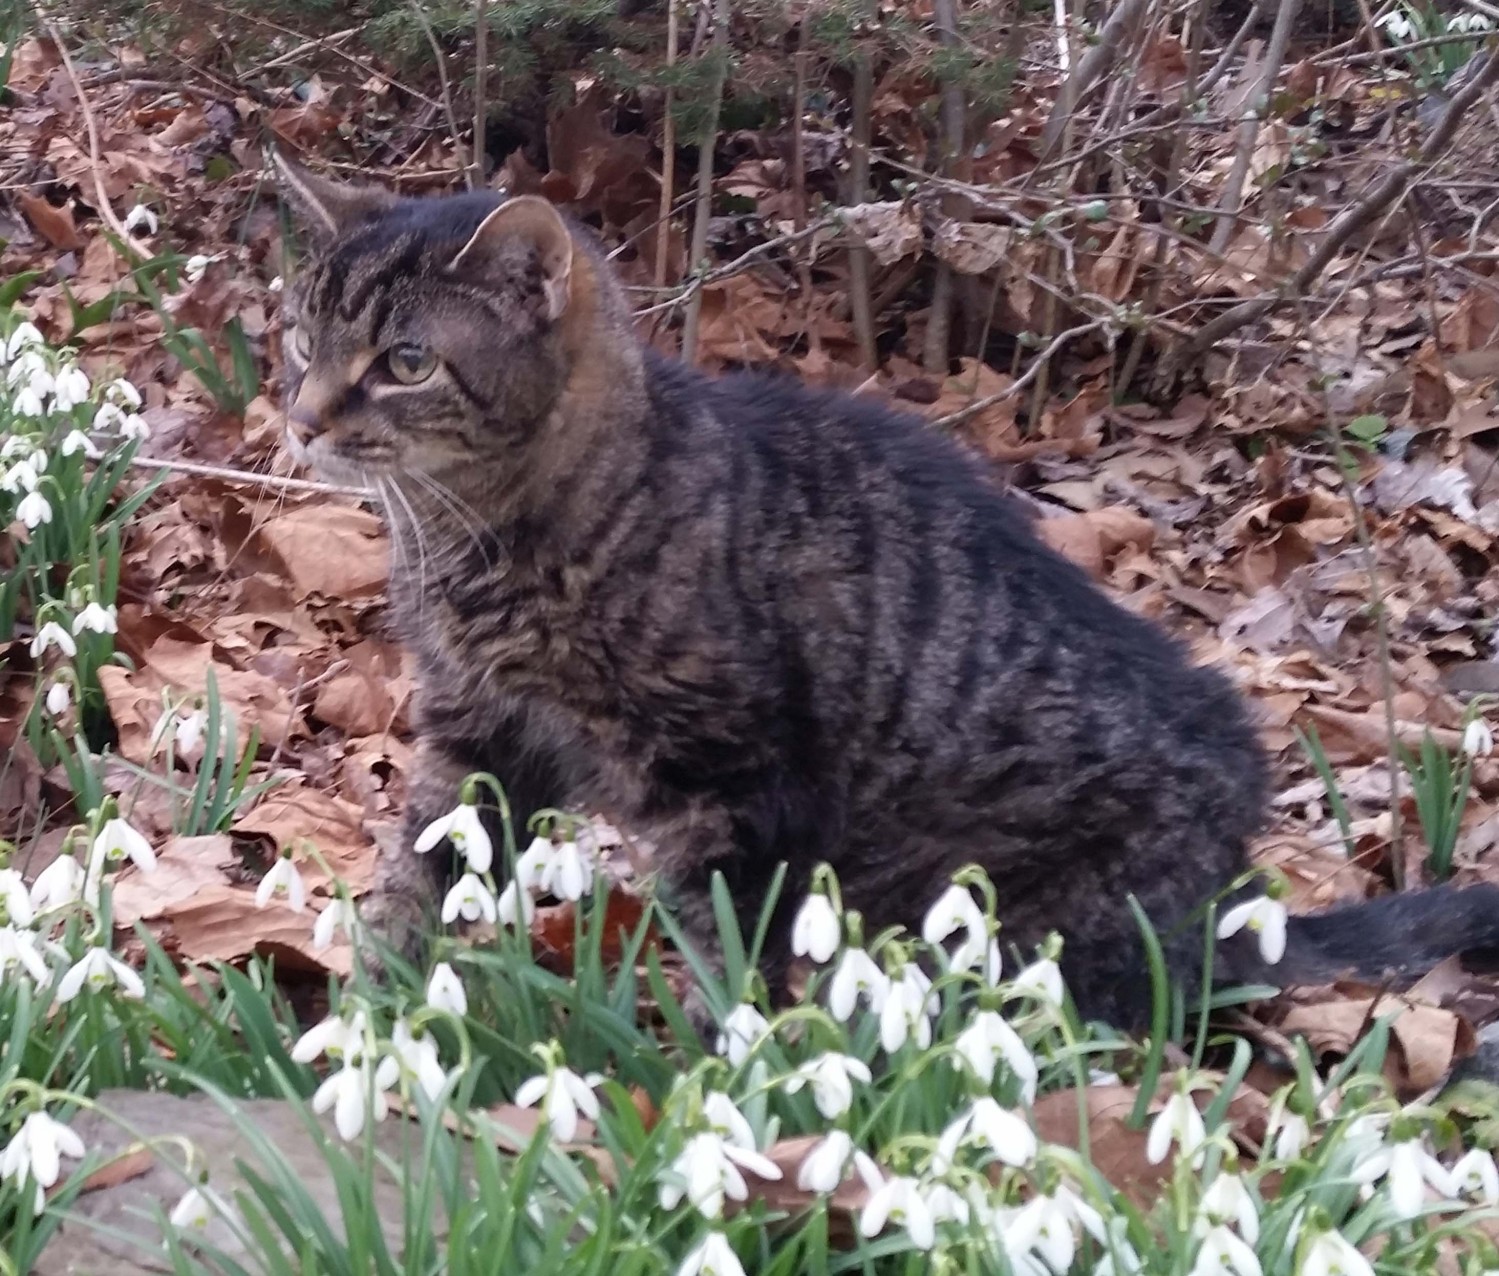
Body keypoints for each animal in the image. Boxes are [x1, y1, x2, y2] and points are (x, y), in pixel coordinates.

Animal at [275, 159, 1499, 1031]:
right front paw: (362, 1025)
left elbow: (728, 953)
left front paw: (725, 1076)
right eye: (302, 337)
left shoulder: (725, 781)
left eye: (406, 361)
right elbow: (413, 883)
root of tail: (1232, 902)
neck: (477, 542)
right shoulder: (475, 734)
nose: (299, 416)